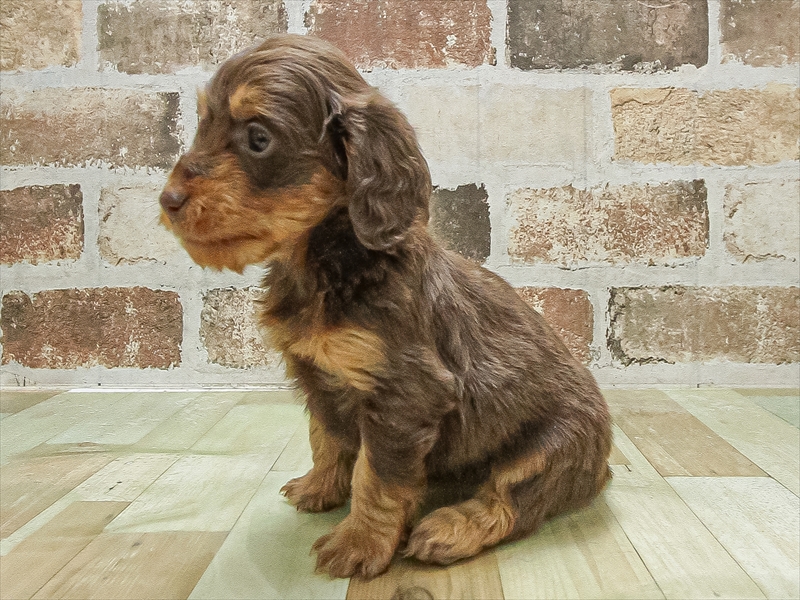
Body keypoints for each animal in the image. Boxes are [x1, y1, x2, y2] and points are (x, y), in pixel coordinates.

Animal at [160, 34, 612, 579]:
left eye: (259, 138)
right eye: (202, 124)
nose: (168, 199)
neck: (329, 265)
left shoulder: (404, 394)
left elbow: (376, 475)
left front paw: (358, 544)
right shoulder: (319, 376)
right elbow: (326, 435)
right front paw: (320, 487)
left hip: (555, 443)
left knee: (511, 497)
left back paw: (450, 527)